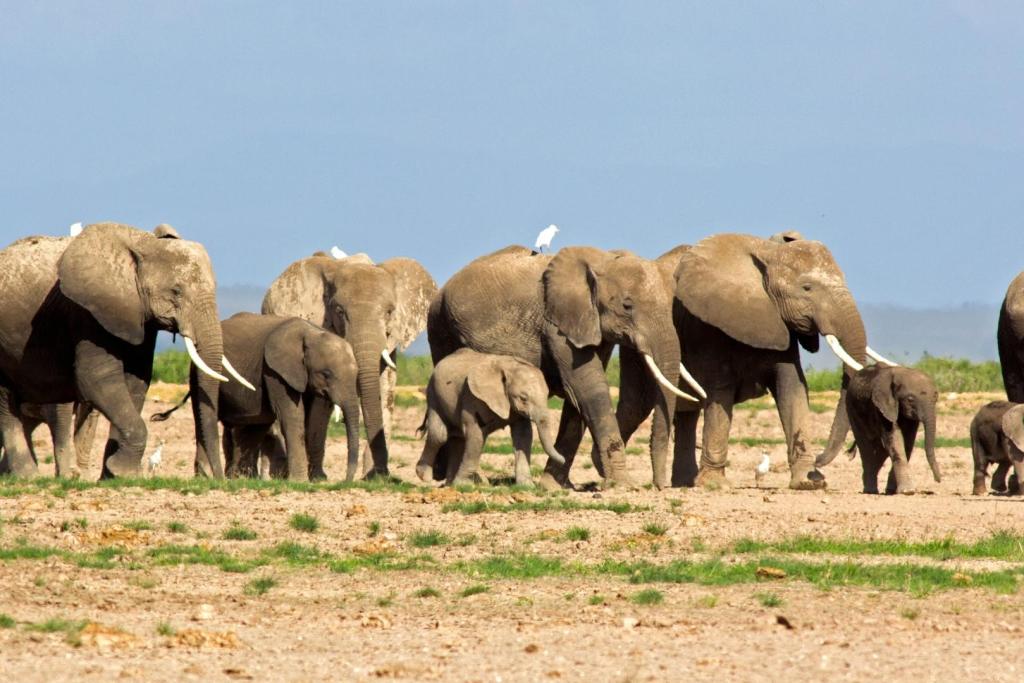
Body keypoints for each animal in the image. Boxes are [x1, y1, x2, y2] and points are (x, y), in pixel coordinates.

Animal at [0, 223, 242, 478]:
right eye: (176, 291)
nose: (217, 478)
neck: (143, 246)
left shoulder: (138, 316)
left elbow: (136, 381)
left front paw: (113, 475)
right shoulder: (87, 311)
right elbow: (97, 378)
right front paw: (124, 471)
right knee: (7, 402)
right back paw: (26, 475)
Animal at [153, 314, 362, 481]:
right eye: (326, 374)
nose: (347, 480)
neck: (311, 332)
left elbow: (311, 419)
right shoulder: (275, 371)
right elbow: (292, 416)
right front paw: (299, 481)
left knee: (256, 425)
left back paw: (241, 478)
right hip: (196, 374)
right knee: (202, 419)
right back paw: (209, 478)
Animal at [262, 252, 436, 478]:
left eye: (390, 312)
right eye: (339, 311)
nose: (382, 472)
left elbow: (384, 389)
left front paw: (375, 476)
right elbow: (321, 403)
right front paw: (318, 478)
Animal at [413, 348, 567, 486]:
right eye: (523, 398)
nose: (564, 459)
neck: (509, 367)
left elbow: (523, 435)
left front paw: (526, 486)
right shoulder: (472, 397)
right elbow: (476, 434)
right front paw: (463, 485)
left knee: (457, 438)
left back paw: (450, 484)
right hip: (434, 394)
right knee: (440, 435)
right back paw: (425, 476)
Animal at [819, 365, 941, 494]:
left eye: (936, 397)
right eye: (910, 399)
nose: (938, 480)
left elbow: (907, 442)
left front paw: (893, 491)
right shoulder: (882, 406)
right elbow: (895, 440)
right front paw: (907, 491)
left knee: (879, 451)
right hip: (852, 409)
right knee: (866, 448)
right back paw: (870, 491)